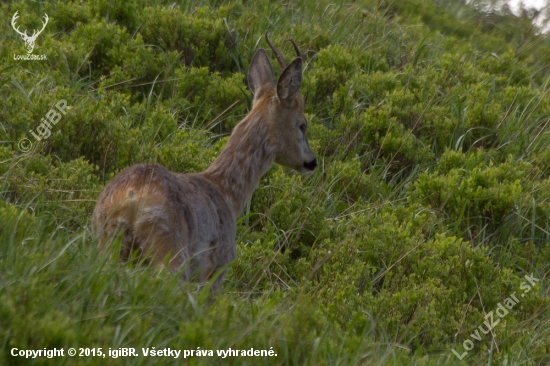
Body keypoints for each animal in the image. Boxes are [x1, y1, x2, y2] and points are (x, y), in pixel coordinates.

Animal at [92, 34, 316, 292]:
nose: (312, 162)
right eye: (302, 125)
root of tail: (131, 196)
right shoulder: (218, 268)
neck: (227, 193)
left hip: (106, 240)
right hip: (171, 251)